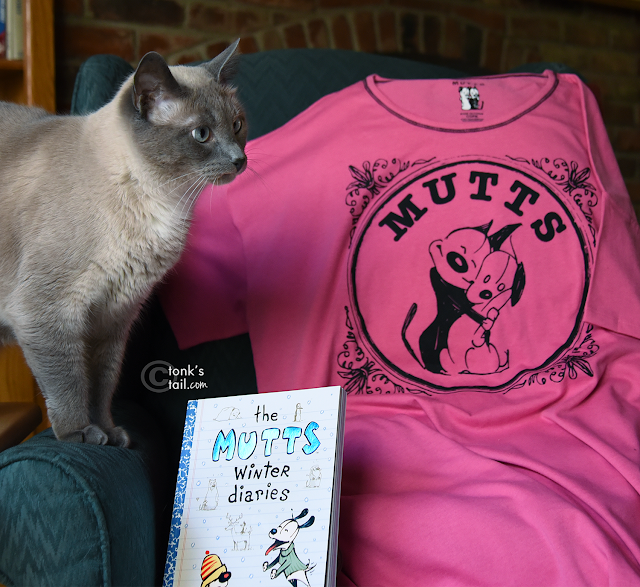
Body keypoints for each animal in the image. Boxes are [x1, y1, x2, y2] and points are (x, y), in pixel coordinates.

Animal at [0, 39, 248, 448]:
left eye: (237, 125)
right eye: (202, 134)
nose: (239, 159)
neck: (165, 206)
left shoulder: (112, 319)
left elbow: (102, 386)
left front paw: (111, 434)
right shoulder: (47, 314)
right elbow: (68, 385)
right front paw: (81, 435)